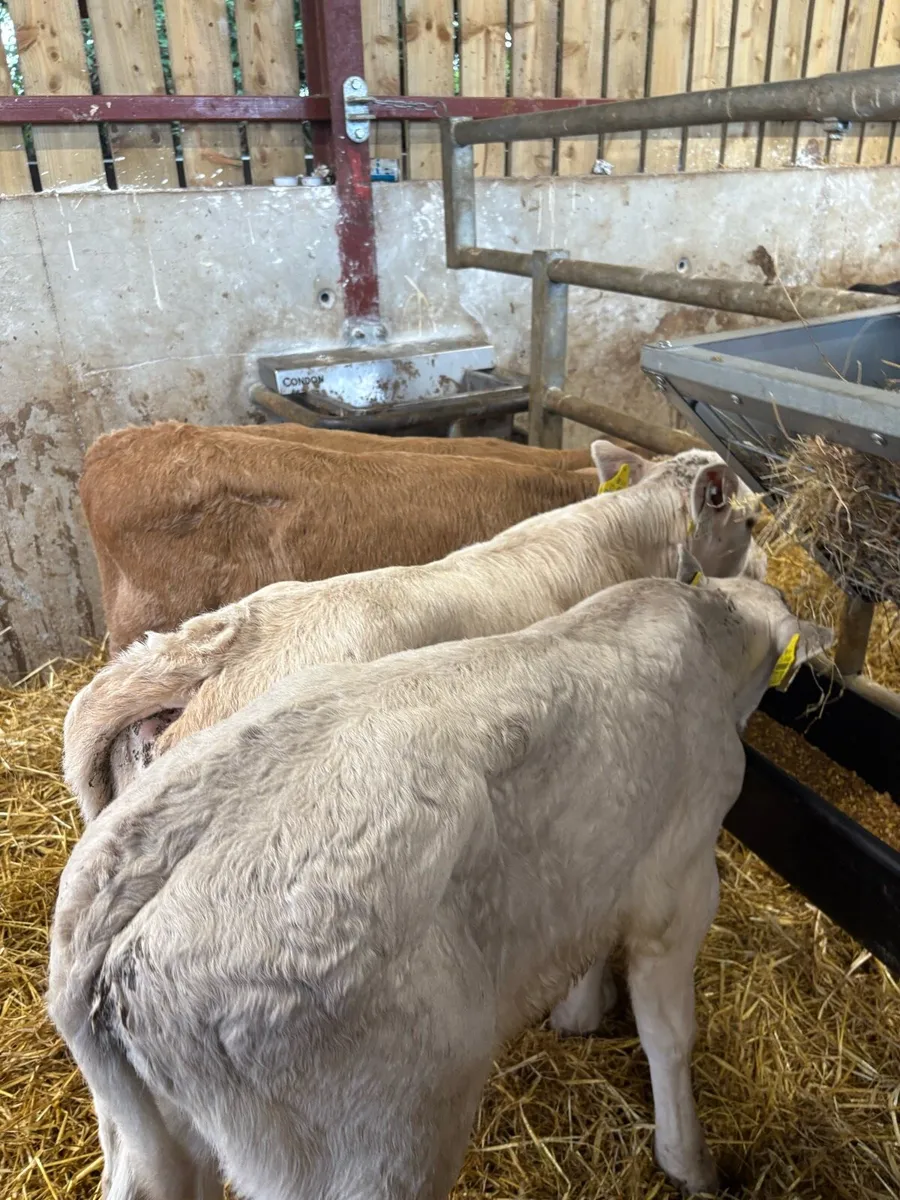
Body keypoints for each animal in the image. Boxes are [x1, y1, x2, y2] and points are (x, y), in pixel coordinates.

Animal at [48, 560, 832, 1200]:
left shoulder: (593, 865)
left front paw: (580, 1012)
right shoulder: (681, 883)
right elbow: (670, 1037)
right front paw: (690, 1161)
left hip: (157, 1144)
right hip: (377, 1144)